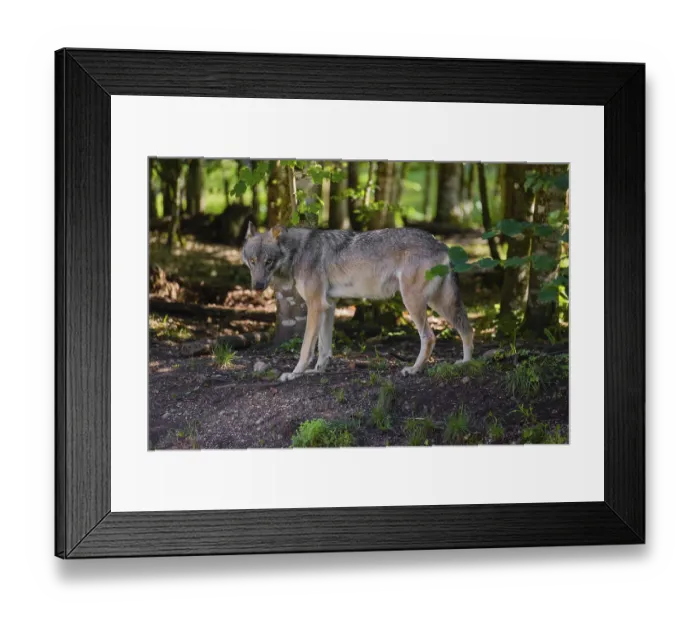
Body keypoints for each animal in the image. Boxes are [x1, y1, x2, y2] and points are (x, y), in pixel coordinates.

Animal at [242, 223, 474, 382]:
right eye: (252, 262)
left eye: (268, 262)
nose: (258, 286)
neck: (298, 251)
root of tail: (440, 243)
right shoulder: (328, 305)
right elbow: (324, 347)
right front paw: (317, 370)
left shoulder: (315, 305)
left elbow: (306, 347)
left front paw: (295, 373)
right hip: (439, 303)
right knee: (467, 329)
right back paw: (465, 363)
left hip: (413, 302)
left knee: (430, 337)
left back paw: (414, 369)